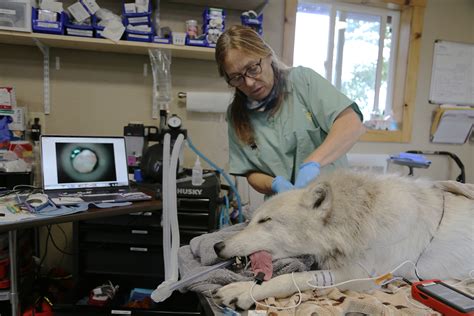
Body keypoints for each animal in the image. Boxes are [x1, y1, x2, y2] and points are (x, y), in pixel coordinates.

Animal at [213, 170, 472, 308]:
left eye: (265, 220)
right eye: (251, 220)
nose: (217, 246)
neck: (358, 216)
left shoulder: (362, 278)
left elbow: (289, 278)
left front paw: (244, 291)